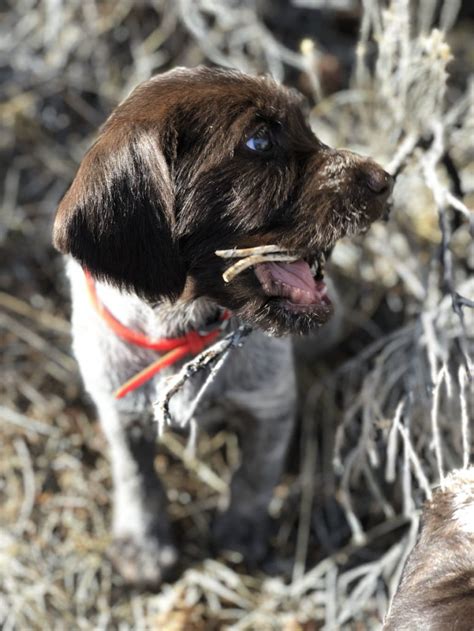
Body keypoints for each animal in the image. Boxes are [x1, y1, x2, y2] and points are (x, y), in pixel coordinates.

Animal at [52, 68, 392, 588]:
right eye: (259, 141)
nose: (386, 181)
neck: (184, 330)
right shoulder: (120, 413)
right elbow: (137, 478)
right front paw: (143, 546)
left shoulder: (271, 406)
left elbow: (255, 475)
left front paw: (240, 533)